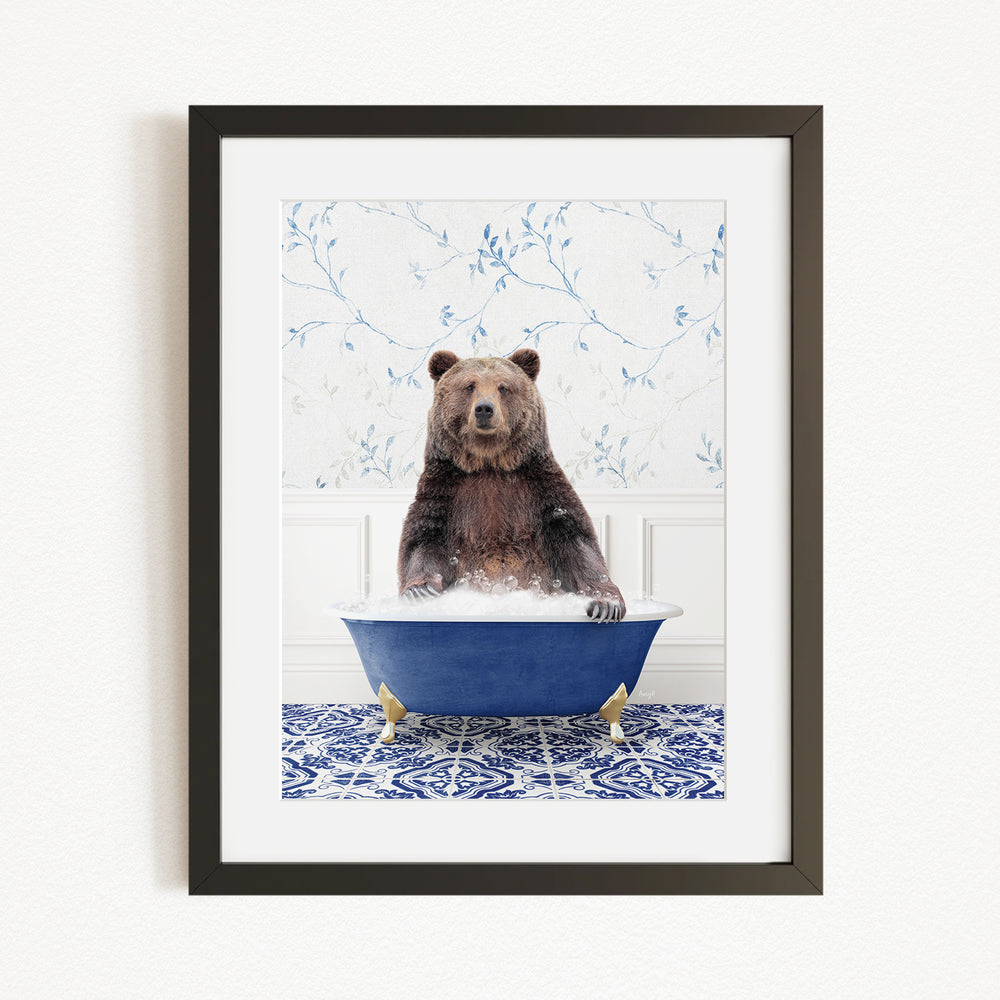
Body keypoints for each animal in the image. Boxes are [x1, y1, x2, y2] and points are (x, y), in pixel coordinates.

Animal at [397, 348, 626, 622]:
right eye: (469, 385)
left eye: (503, 387)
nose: (484, 409)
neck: (490, 463)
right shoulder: (445, 490)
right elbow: (423, 540)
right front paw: (420, 591)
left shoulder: (540, 489)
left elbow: (577, 542)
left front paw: (606, 604)